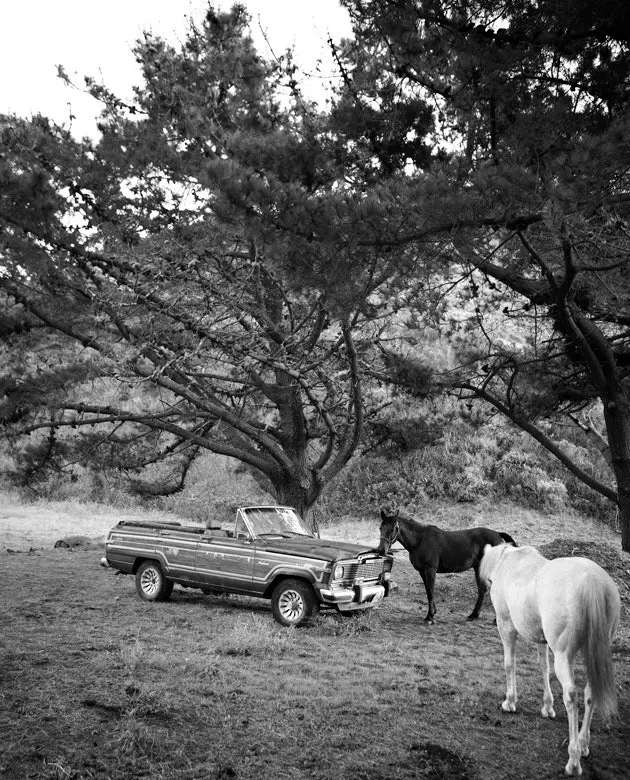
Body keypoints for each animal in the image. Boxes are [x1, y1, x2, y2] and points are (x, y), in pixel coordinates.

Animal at [378, 508, 516, 624]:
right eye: (380, 528)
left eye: (392, 529)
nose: (380, 550)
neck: (420, 540)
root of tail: (497, 534)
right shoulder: (422, 571)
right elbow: (428, 590)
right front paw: (433, 613)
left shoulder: (430, 570)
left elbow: (431, 591)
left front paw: (430, 617)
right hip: (479, 569)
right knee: (482, 590)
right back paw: (473, 615)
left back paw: (495, 619)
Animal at [482, 544, 620, 772]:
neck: (509, 561)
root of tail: (590, 580)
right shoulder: (542, 639)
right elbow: (543, 666)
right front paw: (547, 707)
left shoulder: (506, 626)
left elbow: (509, 664)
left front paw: (510, 702)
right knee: (590, 693)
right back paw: (583, 745)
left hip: (564, 655)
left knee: (571, 696)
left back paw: (573, 759)